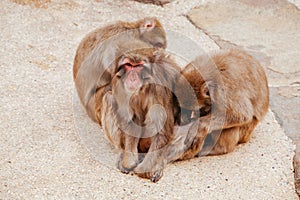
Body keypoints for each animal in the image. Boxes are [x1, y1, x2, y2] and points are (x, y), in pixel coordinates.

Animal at [100, 39, 180, 182]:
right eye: (129, 65)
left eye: (138, 66)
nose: (132, 78)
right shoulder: (119, 83)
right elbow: (132, 121)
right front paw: (129, 162)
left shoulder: (159, 87)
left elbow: (161, 130)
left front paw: (144, 169)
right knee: (108, 97)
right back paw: (122, 152)